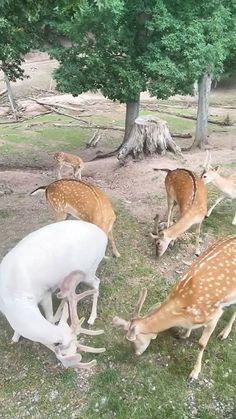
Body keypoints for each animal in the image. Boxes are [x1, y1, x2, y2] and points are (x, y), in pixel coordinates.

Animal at [112, 236, 236, 384]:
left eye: (133, 340)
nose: (136, 353)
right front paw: (184, 335)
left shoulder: (214, 315)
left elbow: (201, 344)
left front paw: (194, 374)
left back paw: (224, 333)